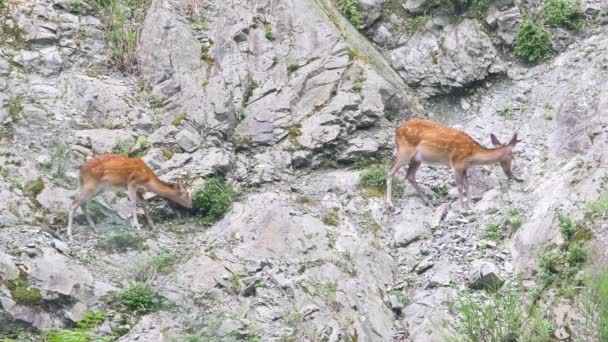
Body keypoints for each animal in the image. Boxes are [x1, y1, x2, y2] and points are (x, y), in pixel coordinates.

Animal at [384, 119, 524, 210]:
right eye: (513, 156)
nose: (510, 175)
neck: (473, 155)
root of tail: (396, 131)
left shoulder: (464, 167)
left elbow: (467, 186)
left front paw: (471, 206)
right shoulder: (456, 164)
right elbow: (460, 186)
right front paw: (462, 208)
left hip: (417, 159)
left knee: (410, 175)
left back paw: (428, 202)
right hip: (405, 151)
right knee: (391, 171)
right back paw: (390, 204)